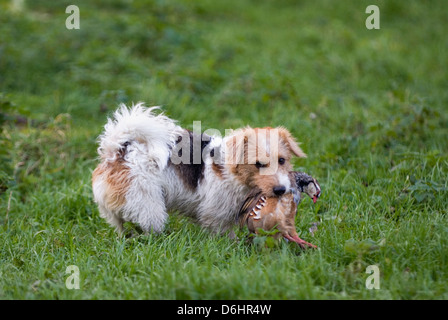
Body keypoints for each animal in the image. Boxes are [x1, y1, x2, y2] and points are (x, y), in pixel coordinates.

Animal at [92, 103, 306, 235]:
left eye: (282, 160)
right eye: (258, 164)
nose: (280, 190)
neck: (234, 172)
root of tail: (117, 151)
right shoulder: (216, 213)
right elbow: (223, 233)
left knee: (119, 224)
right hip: (147, 205)